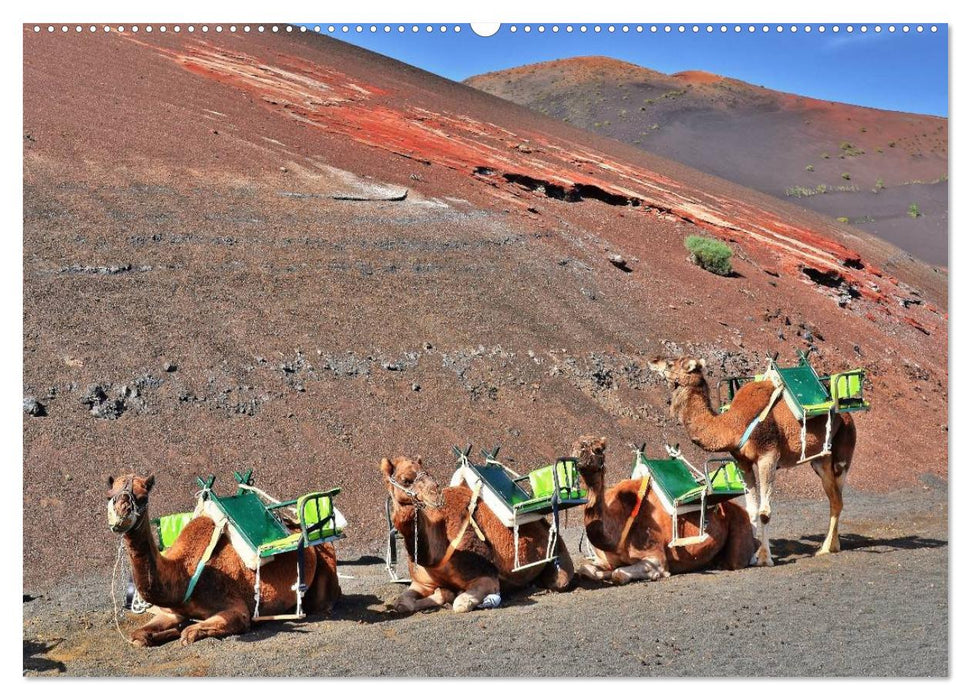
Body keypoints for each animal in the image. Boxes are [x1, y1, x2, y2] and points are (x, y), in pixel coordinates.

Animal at [106, 474, 340, 648]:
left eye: (143, 497)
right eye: (110, 495)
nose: (121, 515)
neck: (185, 573)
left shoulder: (237, 609)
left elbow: (189, 633)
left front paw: (180, 632)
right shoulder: (170, 611)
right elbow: (139, 636)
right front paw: (161, 633)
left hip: (326, 560)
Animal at [382, 454, 576, 612]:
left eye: (428, 473)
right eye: (406, 479)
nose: (435, 494)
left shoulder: (487, 577)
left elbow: (460, 603)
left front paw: (450, 595)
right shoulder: (421, 583)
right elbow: (402, 603)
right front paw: (442, 593)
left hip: (558, 551)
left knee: (560, 580)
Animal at [572, 434, 756, 584]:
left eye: (598, 449)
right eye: (574, 448)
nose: (580, 457)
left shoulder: (656, 557)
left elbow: (620, 574)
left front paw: (655, 575)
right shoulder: (604, 559)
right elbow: (585, 568)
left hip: (740, 529)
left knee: (737, 560)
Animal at [648, 358, 856, 568]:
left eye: (671, 364)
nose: (653, 360)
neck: (732, 424)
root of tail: (846, 415)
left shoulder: (768, 456)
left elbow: (764, 512)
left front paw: (765, 558)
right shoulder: (743, 462)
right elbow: (752, 510)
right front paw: (752, 556)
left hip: (842, 452)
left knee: (837, 499)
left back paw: (825, 548)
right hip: (820, 460)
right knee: (835, 498)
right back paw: (834, 545)